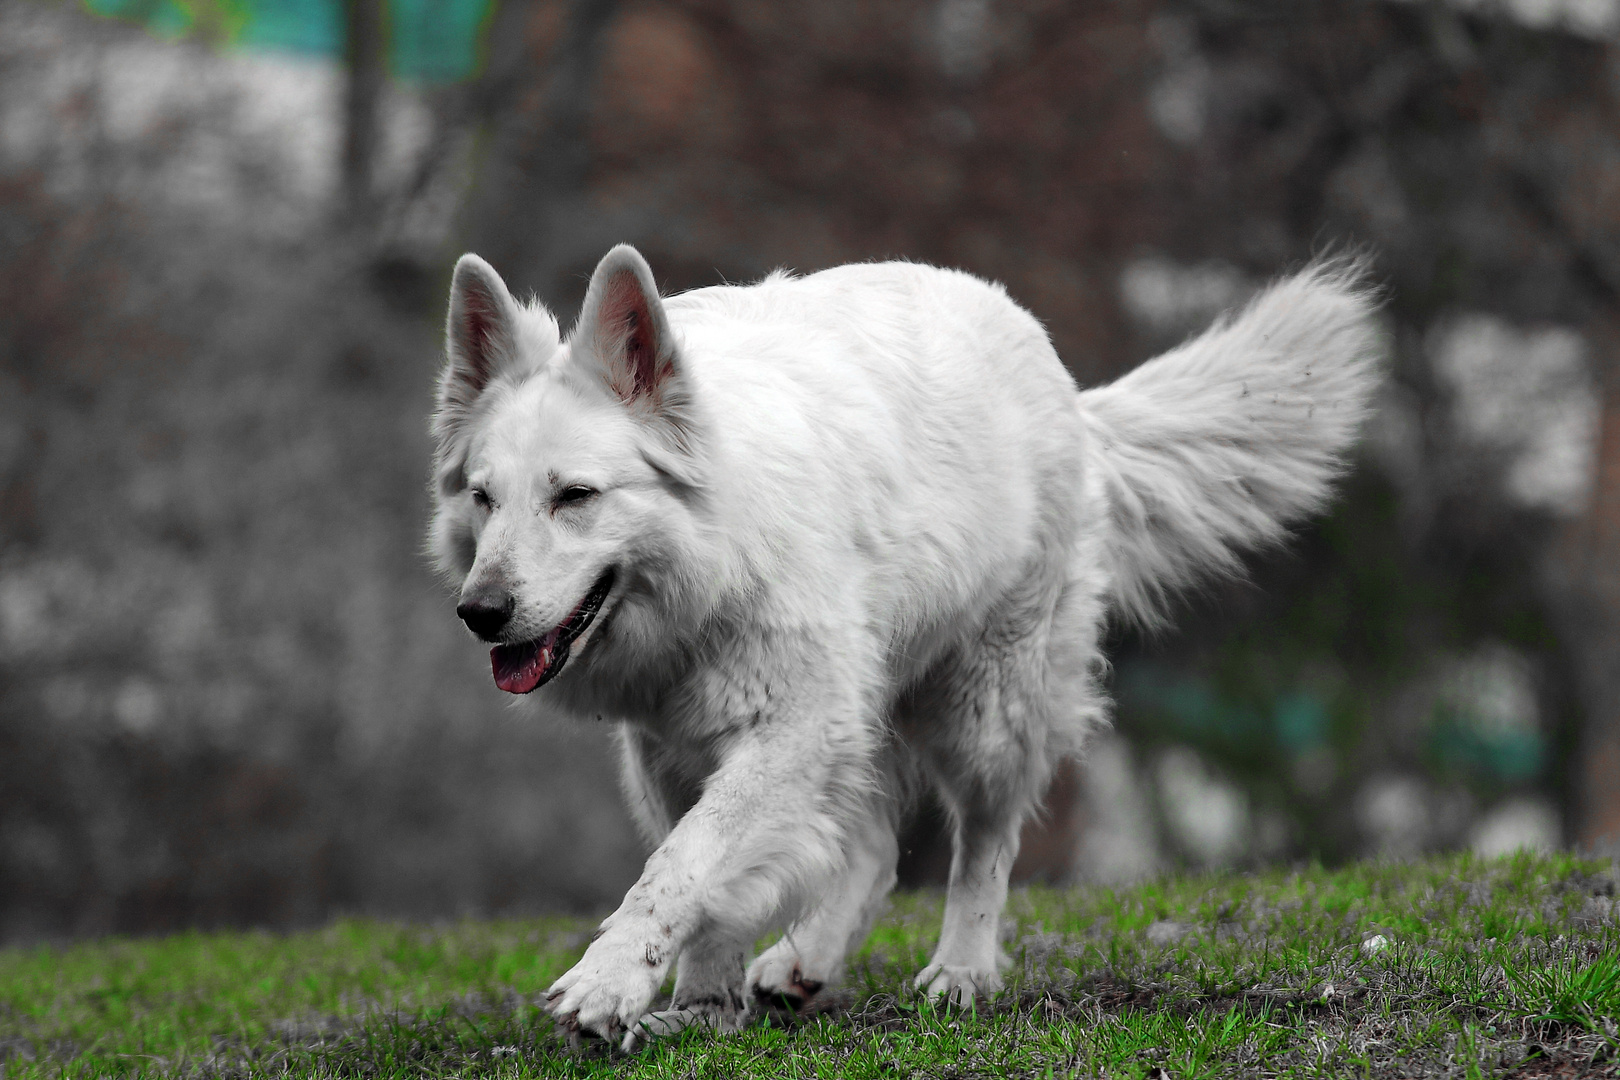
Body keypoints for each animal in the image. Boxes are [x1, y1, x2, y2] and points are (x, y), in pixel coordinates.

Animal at [430, 247, 1380, 1049]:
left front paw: (610, 981)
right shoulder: (673, 753)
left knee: (986, 840)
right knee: (879, 847)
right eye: (484, 497)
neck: (717, 551)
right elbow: (705, 884)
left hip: (982, 708)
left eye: (576, 496)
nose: (479, 611)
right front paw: (702, 1009)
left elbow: (680, 868)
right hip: (865, 717)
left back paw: (962, 969)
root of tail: (1064, 386)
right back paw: (804, 964)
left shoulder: (791, 732)